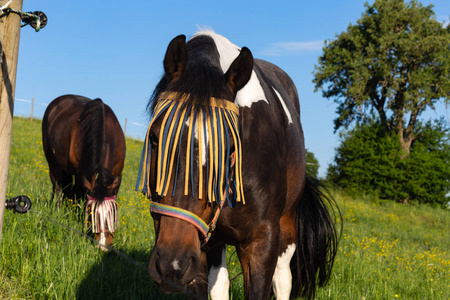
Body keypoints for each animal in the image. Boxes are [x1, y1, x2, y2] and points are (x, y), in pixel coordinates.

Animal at [41, 94, 125, 251]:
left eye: (111, 214)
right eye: (92, 214)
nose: (103, 246)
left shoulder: (117, 177)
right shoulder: (82, 176)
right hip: (54, 165)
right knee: (58, 189)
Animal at [135, 31, 340, 300]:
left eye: (230, 148)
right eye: (155, 138)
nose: (172, 266)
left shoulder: (262, 241)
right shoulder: (200, 248)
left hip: (287, 226)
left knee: (283, 280)